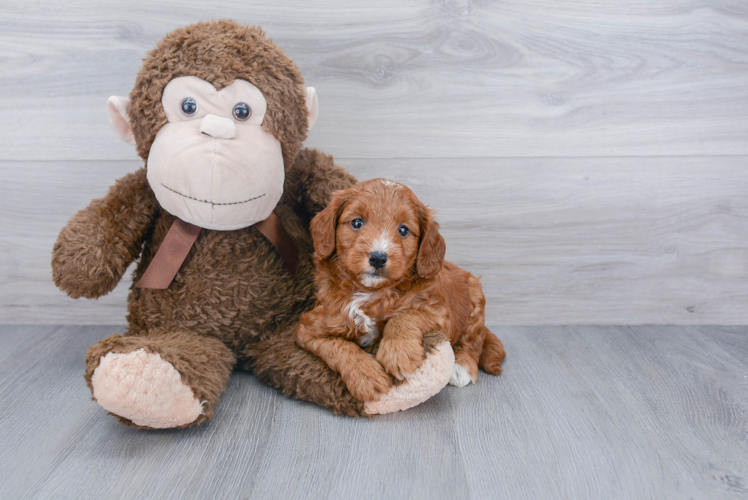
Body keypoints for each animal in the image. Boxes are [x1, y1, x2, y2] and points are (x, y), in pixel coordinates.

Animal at [296, 178, 506, 400]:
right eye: (357, 223)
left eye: (403, 230)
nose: (378, 257)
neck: (371, 292)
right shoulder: (309, 328)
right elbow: (338, 346)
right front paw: (367, 376)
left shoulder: (440, 313)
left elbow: (405, 315)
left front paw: (399, 354)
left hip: (475, 299)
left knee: (472, 341)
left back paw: (461, 366)